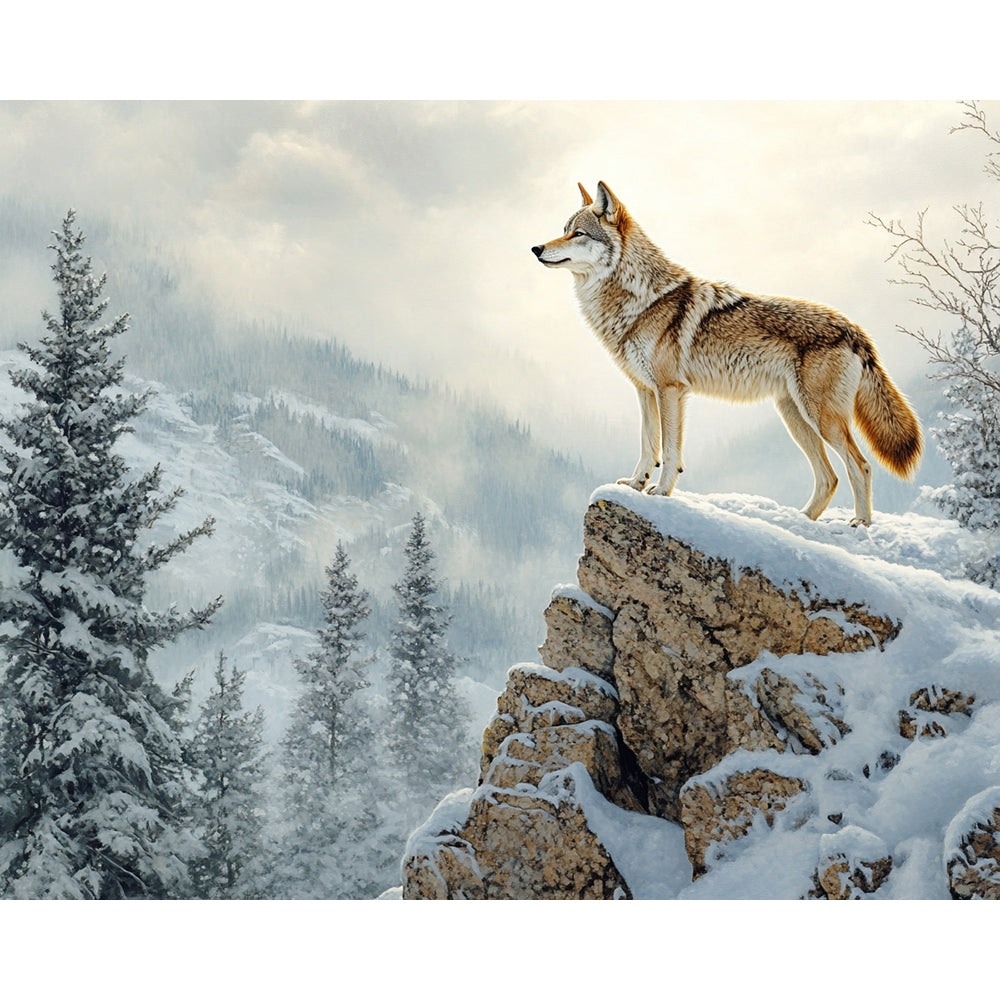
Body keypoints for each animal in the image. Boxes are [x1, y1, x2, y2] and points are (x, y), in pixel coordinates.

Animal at [531, 181, 922, 526]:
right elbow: (647, 446)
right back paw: (800, 522)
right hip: (795, 417)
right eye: (563, 230)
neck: (638, 299)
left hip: (821, 419)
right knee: (829, 477)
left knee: (861, 466)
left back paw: (861, 523)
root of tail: (853, 327)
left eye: (578, 233)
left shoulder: (670, 390)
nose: (536, 248)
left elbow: (669, 451)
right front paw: (636, 484)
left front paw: (661, 492)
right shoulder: (644, 390)